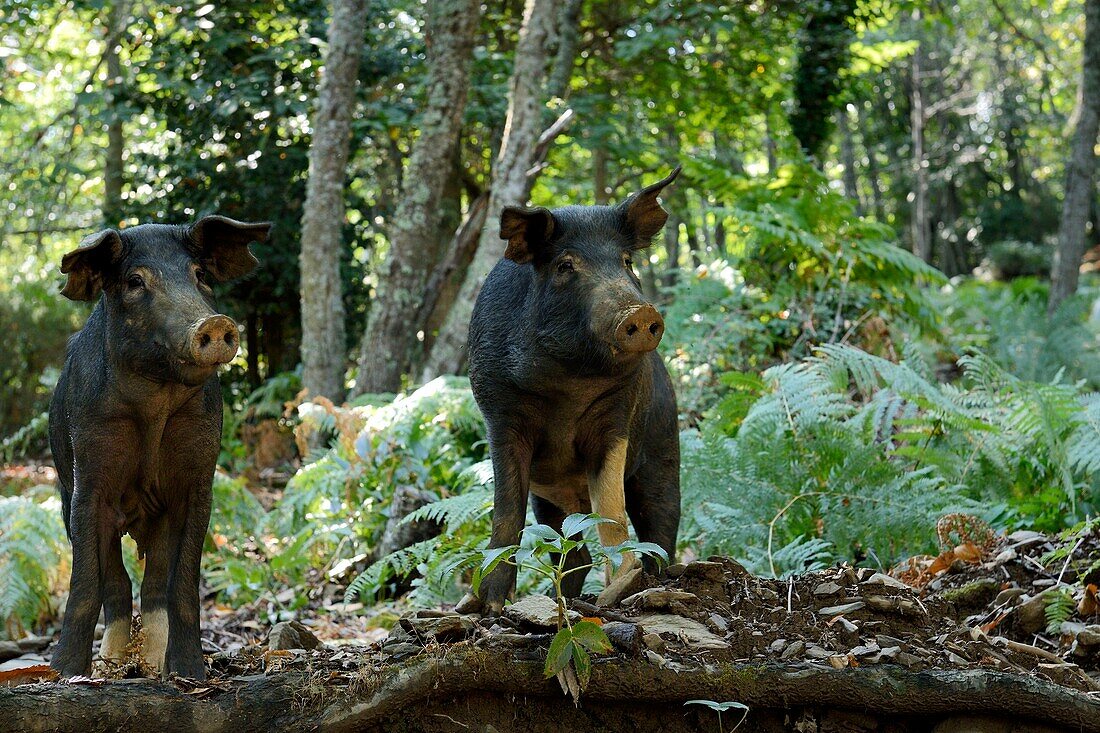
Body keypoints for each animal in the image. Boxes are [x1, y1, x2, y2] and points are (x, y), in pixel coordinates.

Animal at [49, 214, 268, 677]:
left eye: (199, 275)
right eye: (135, 281)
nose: (214, 324)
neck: (153, 409)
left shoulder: (198, 477)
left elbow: (182, 585)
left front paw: (189, 674)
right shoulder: (86, 475)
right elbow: (85, 583)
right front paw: (64, 674)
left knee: (154, 583)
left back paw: (151, 665)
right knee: (116, 582)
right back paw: (113, 664)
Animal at [455, 168, 677, 607]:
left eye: (627, 262)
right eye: (566, 265)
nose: (639, 312)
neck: (569, 386)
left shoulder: (617, 419)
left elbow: (611, 509)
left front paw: (622, 587)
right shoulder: (500, 414)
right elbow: (507, 510)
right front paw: (487, 604)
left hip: (665, 449)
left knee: (661, 528)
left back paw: (653, 582)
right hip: (549, 500)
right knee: (575, 552)